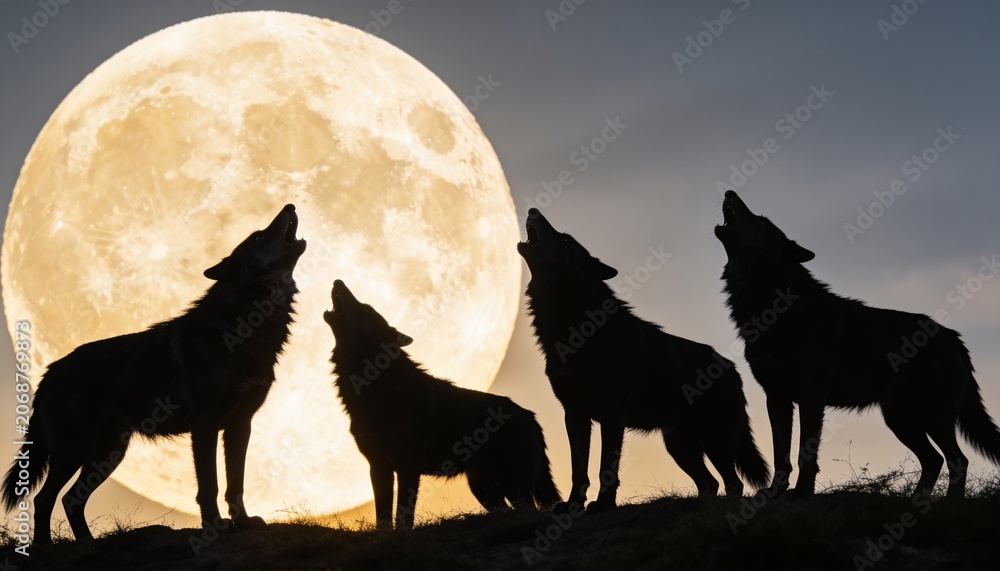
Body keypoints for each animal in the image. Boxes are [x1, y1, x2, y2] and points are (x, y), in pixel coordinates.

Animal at [1, 205, 306, 542]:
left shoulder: (240, 424)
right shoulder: (205, 423)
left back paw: (87, 544)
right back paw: (46, 545)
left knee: (70, 499)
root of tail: (49, 372)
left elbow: (235, 483)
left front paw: (244, 521)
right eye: (257, 236)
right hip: (77, 448)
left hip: (108, 453)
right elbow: (210, 485)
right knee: (45, 498)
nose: (290, 206)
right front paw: (214, 525)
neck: (245, 325)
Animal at [324, 280, 560, 529]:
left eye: (366, 309)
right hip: (485, 490)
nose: (338, 281)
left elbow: (403, 516)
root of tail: (529, 415)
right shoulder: (379, 467)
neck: (374, 385)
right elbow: (383, 517)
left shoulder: (408, 467)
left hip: (511, 483)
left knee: (530, 509)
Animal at [518, 208, 769, 513]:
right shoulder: (574, 414)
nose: (533, 211)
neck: (573, 326)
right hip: (679, 446)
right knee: (709, 483)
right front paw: (573, 504)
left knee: (733, 483)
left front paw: (603, 504)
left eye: (565, 239)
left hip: (714, 439)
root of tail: (732, 368)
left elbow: (606, 467)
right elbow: (578, 468)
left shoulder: (612, 414)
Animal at [716, 190, 1000, 498]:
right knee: (934, 459)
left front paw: (802, 493)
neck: (770, 303)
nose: (729, 192)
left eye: (763, 222)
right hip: (900, 420)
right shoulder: (776, 397)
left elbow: (805, 454)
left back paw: (949, 503)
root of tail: (954, 337)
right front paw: (775, 493)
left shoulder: (811, 396)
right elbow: (781, 454)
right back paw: (916, 501)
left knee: (958, 459)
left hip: (931, 414)